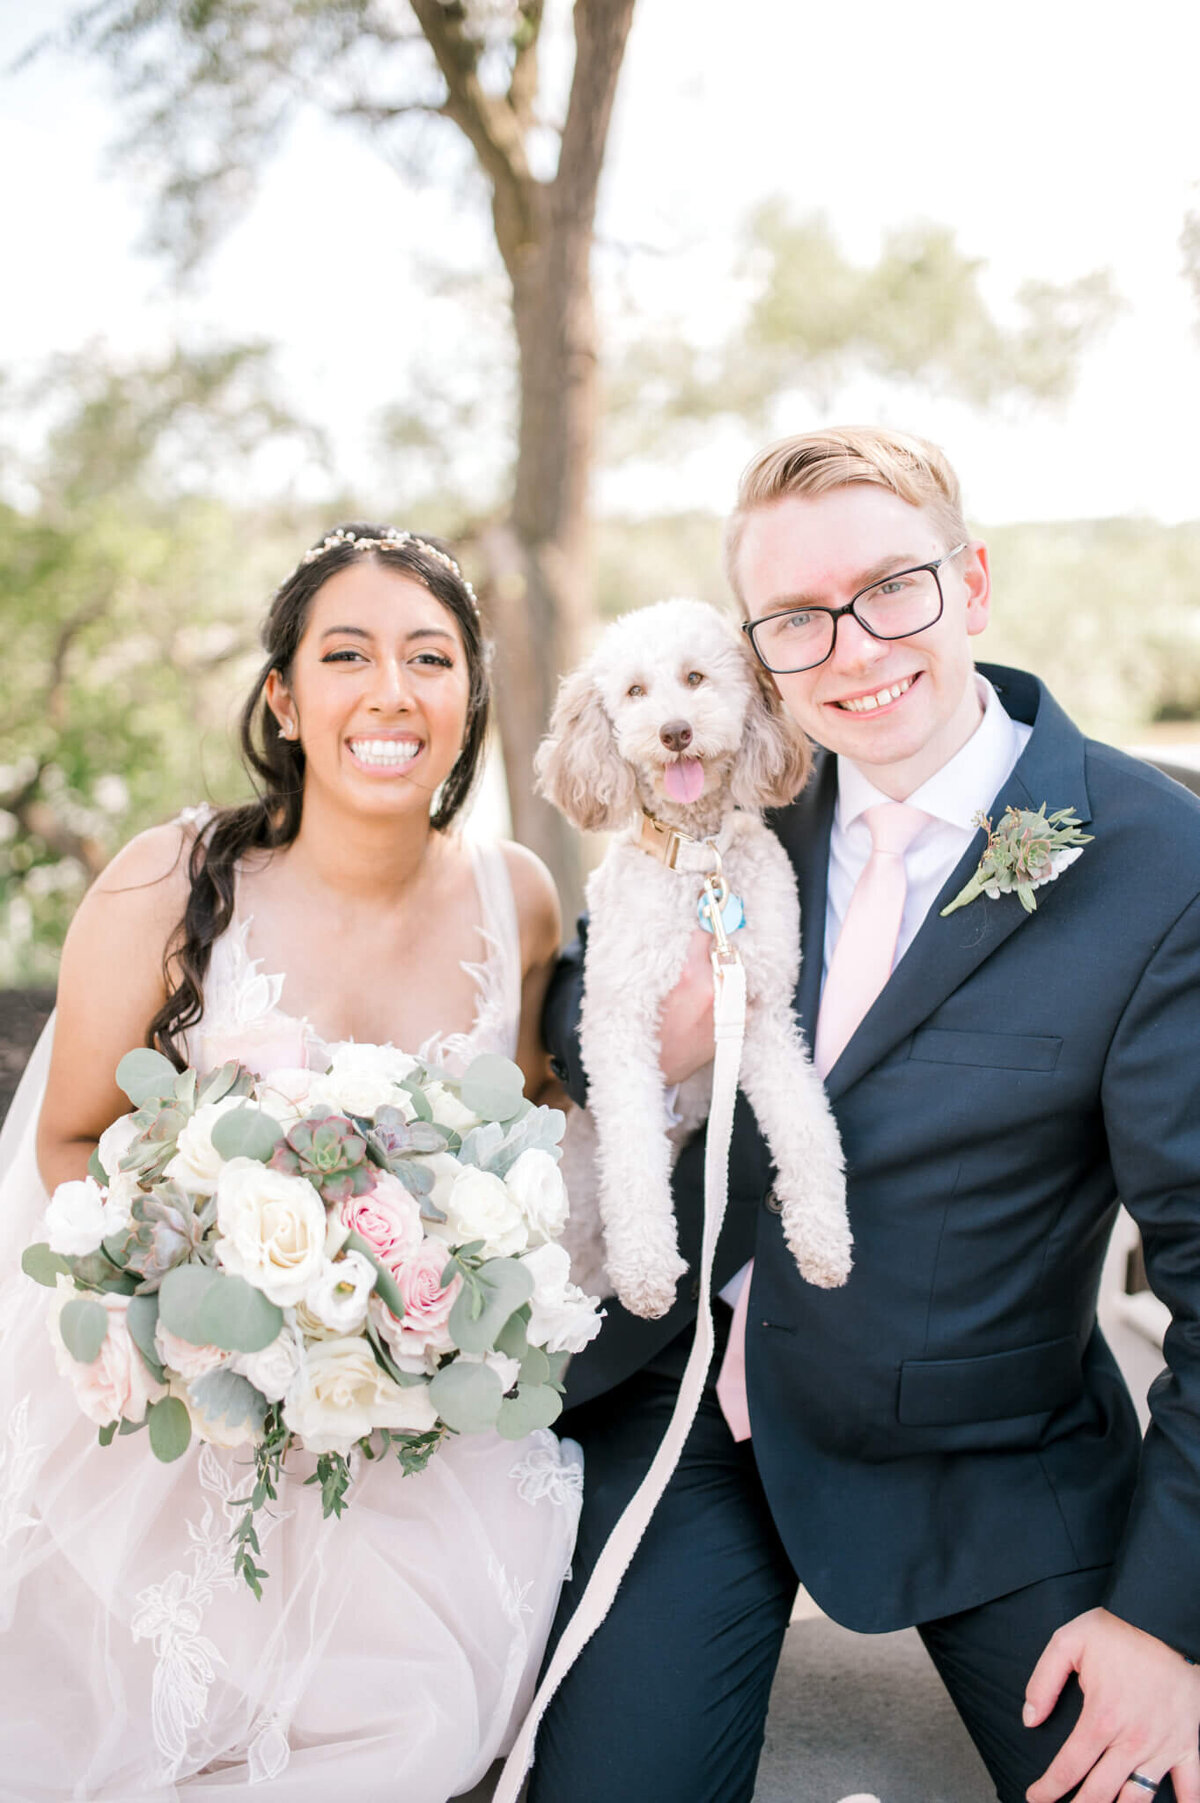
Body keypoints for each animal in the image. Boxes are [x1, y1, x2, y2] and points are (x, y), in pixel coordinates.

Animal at [533, 598, 850, 1319]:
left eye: (696, 677)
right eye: (634, 691)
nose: (674, 732)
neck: (699, 864)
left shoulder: (762, 1012)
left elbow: (806, 1124)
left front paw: (823, 1239)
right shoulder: (617, 1020)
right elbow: (633, 1155)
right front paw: (648, 1271)